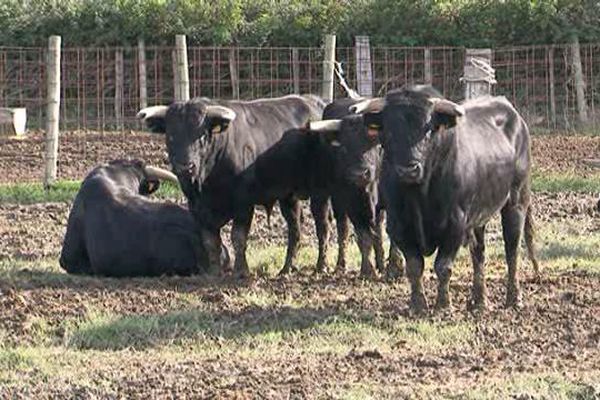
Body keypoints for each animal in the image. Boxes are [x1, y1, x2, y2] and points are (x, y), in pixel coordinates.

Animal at [350, 86, 540, 312]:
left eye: (428, 129)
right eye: (388, 131)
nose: (408, 170)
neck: (419, 195)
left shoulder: (455, 225)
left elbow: (443, 266)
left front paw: (443, 305)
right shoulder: (399, 225)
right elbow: (414, 266)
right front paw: (418, 304)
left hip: (516, 201)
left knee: (512, 250)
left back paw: (513, 298)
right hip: (478, 216)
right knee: (479, 253)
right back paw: (479, 300)